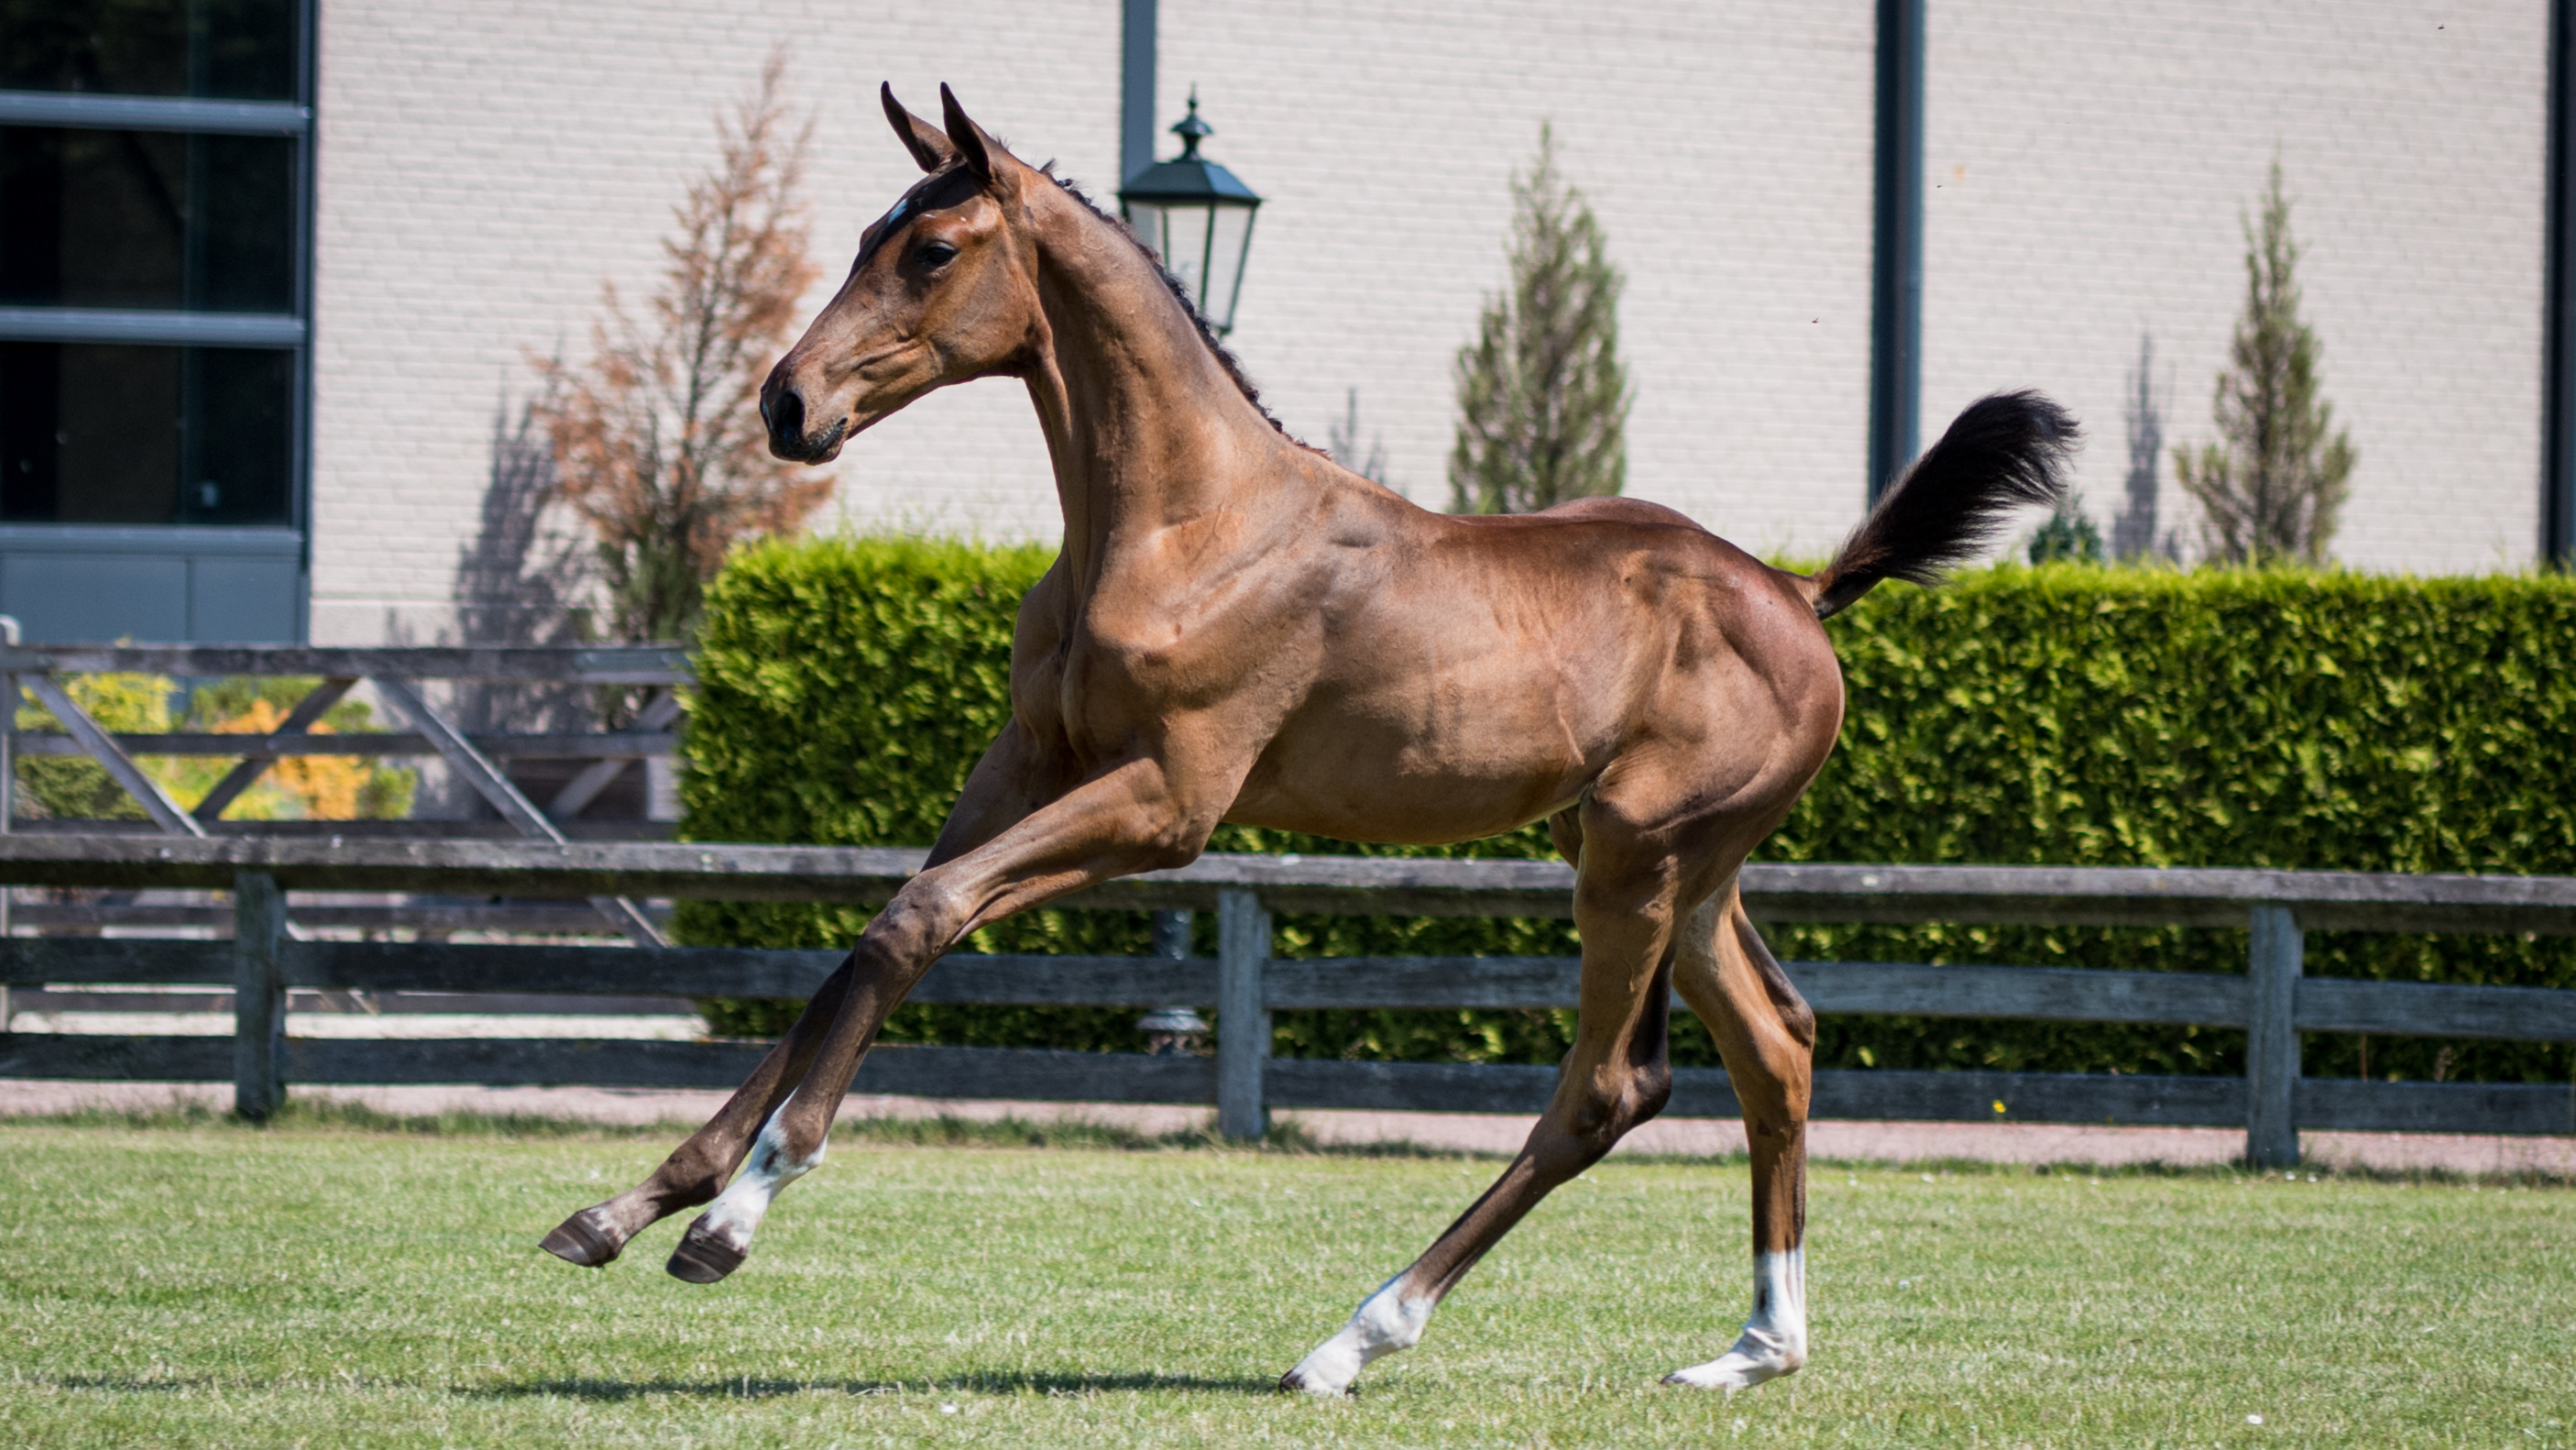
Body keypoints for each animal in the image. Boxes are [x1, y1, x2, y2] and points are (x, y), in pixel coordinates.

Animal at [542, 83, 2076, 1397]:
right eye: (871, 235)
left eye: (927, 249)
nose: (786, 405)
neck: (1185, 522)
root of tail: (1804, 595)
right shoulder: (1024, 761)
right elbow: (864, 939)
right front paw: (627, 1204)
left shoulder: (1167, 804)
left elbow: (915, 921)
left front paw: (732, 1218)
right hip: (1681, 866)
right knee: (1777, 1044)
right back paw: (1752, 1348)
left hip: (1635, 854)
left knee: (1609, 1087)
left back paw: (1353, 1338)